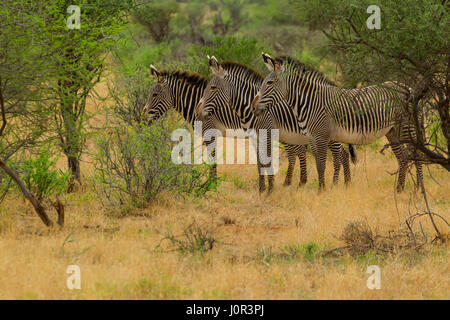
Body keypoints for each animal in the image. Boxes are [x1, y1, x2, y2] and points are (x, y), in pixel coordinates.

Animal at [194, 56, 356, 194]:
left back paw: (339, 184)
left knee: (341, 154)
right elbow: (260, 163)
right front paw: (261, 190)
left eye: (213, 88)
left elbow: (268, 161)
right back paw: (344, 184)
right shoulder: (255, 138)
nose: (197, 111)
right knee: (342, 153)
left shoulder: (267, 134)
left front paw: (270, 189)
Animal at [251, 53, 424, 191]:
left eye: (270, 83)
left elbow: (321, 165)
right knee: (403, 158)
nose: (253, 106)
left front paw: (321, 192)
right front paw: (323, 190)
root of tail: (408, 87)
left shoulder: (321, 137)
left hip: (407, 127)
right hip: (393, 131)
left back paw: (418, 189)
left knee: (415, 154)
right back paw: (400, 189)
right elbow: (319, 165)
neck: (310, 103)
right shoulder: (312, 139)